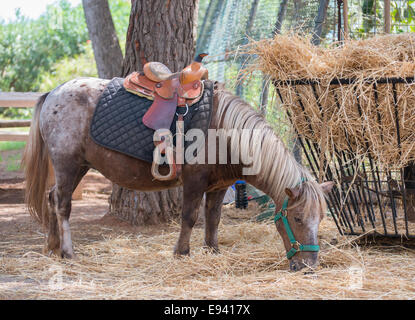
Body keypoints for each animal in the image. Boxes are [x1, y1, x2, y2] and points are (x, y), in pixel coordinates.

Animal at [22, 77, 334, 270]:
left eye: (320, 219)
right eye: (297, 218)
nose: (308, 267)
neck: (224, 132)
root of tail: (53, 93)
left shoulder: (219, 186)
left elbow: (213, 218)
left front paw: (212, 251)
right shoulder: (194, 182)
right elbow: (190, 217)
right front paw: (182, 252)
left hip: (77, 167)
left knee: (51, 198)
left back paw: (52, 247)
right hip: (68, 165)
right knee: (62, 205)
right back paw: (68, 251)